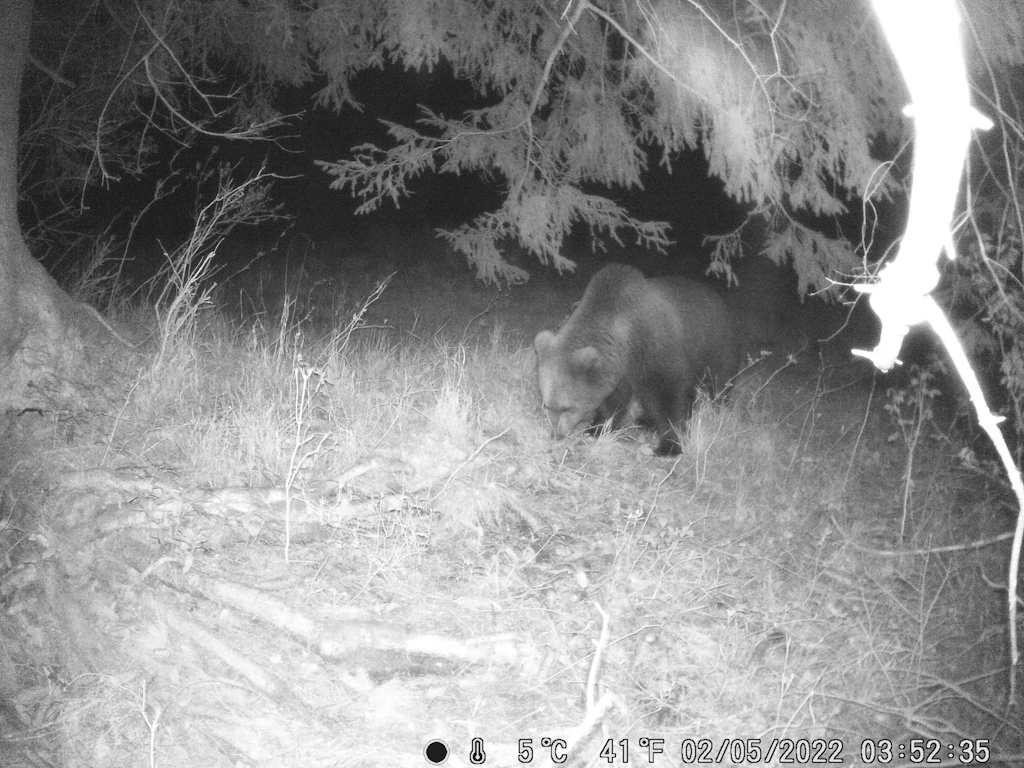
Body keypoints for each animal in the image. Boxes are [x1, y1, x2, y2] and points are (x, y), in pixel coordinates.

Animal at [533, 263, 741, 456]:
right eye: (547, 404)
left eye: (567, 407)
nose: (556, 434)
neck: (627, 339)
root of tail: (718, 298)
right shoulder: (618, 369)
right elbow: (614, 399)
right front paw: (598, 428)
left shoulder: (656, 349)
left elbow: (668, 394)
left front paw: (669, 445)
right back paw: (646, 420)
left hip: (716, 345)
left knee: (718, 383)